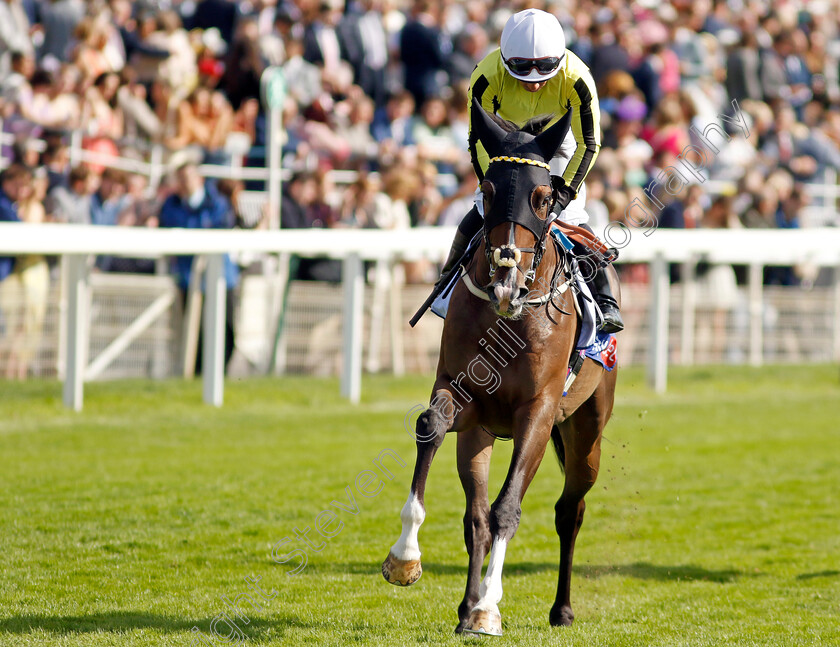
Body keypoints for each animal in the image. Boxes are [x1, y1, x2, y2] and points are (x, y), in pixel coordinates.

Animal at [384, 98, 620, 636]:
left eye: (542, 197)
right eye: (488, 192)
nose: (506, 278)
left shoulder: (538, 410)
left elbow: (508, 508)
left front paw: (490, 606)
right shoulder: (460, 392)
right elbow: (430, 427)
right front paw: (405, 557)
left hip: (587, 432)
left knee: (569, 510)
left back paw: (559, 609)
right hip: (480, 434)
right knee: (475, 519)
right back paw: (464, 608)